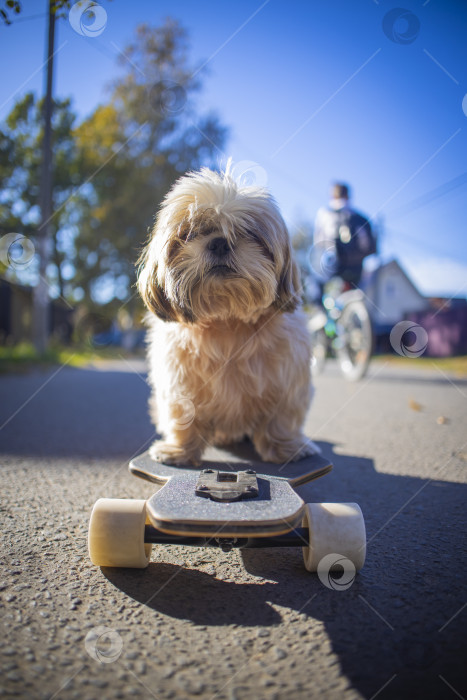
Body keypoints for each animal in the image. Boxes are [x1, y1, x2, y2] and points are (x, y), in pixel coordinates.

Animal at [136, 164, 318, 464]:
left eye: (249, 233)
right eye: (190, 233)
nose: (220, 242)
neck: (227, 321)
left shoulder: (288, 383)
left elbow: (281, 418)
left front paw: (285, 447)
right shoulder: (178, 385)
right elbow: (182, 416)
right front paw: (179, 450)